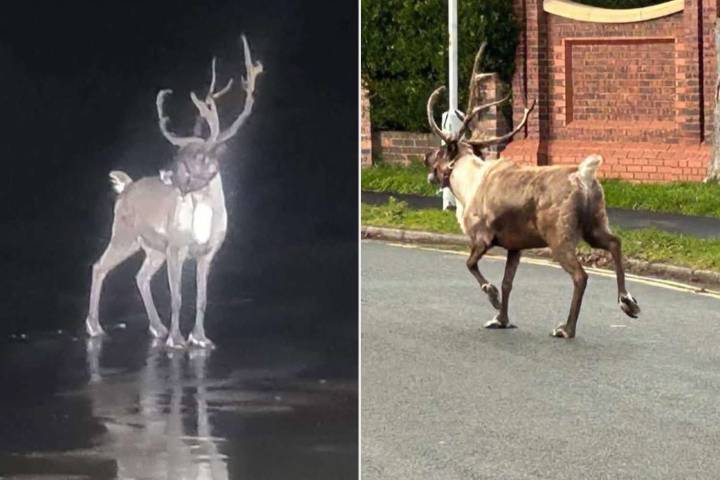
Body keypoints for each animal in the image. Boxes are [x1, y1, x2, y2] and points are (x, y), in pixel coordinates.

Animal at [85, 35, 263, 349]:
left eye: (199, 157)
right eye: (177, 153)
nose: (166, 173)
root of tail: (126, 186)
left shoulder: (207, 253)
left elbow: (202, 298)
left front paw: (200, 338)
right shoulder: (176, 248)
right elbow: (178, 297)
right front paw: (177, 339)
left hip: (151, 248)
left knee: (140, 276)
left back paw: (157, 328)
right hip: (124, 234)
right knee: (99, 266)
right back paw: (95, 326)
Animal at [423, 45, 640, 339]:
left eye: (441, 151)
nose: (425, 157)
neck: (465, 185)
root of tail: (584, 175)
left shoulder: (482, 237)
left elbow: (471, 265)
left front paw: (492, 297)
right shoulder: (516, 245)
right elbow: (507, 282)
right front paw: (501, 319)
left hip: (559, 236)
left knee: (580, 275)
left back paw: (566, 328)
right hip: (594, 224)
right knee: (615, 243)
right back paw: (627, 302)